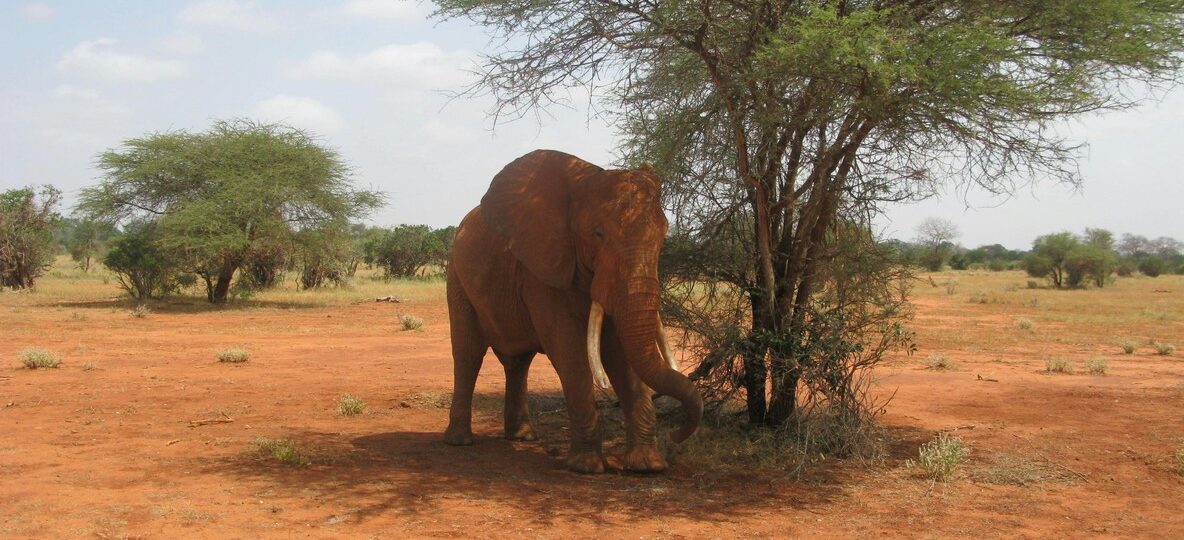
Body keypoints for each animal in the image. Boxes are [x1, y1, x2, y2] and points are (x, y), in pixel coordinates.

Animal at [443, 149, 703, 473]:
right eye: (598, 234)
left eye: (663, 235)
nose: (676, 433)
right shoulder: (543, 269)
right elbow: (568, 348)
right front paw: (587, 467)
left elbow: (621, 352)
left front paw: (648, 465)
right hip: (457, 277)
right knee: (468, 353)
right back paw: (459, 441)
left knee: (518, 363)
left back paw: (523, 437)